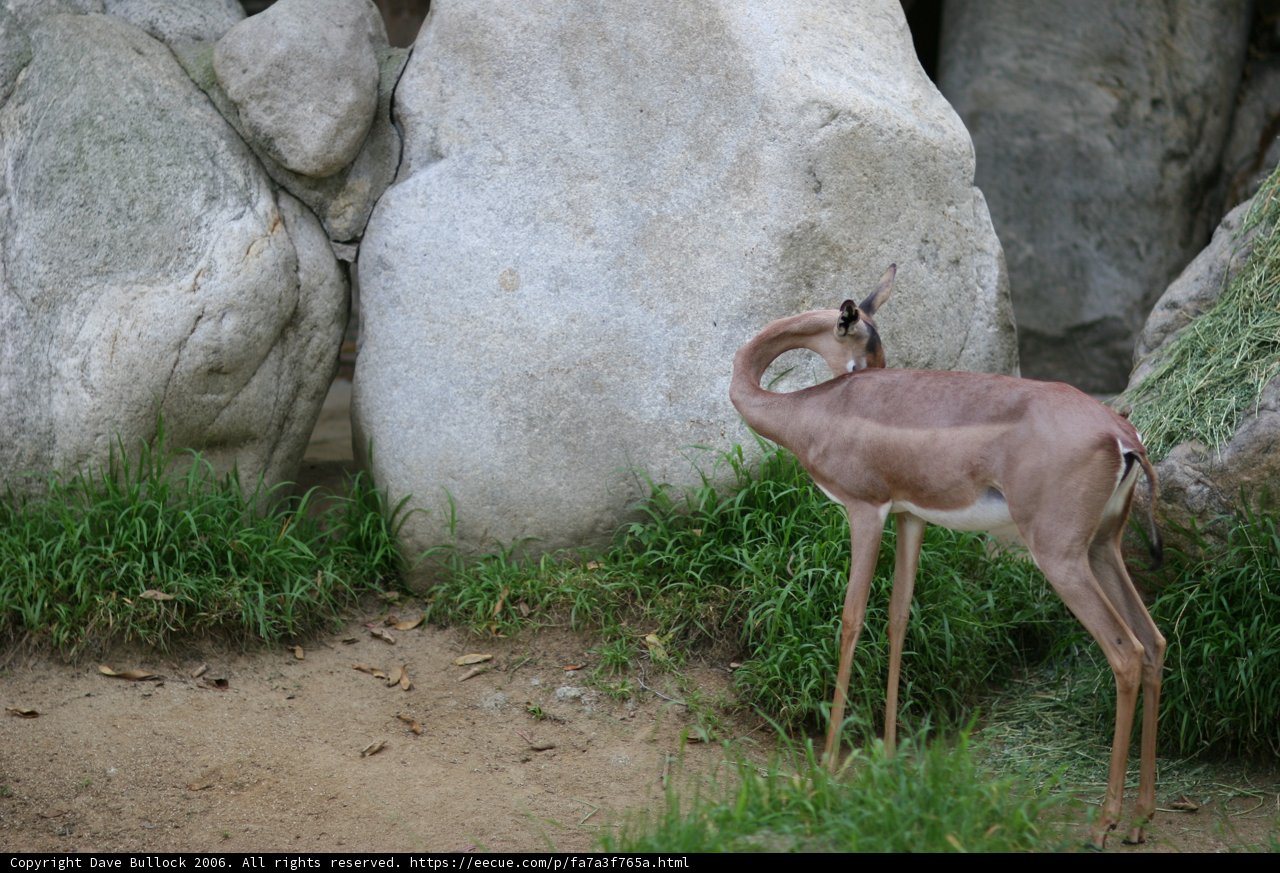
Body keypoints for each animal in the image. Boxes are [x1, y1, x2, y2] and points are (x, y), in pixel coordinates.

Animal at [729, 265, 1165, 848]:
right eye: (869, 348)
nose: (871, 378)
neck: (811, 412)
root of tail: (1122, 435)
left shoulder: (865, 511)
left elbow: (851, 619)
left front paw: (826, 769)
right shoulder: (910, 517)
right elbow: (898, 617)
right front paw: (889, 758)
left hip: (1059, 556)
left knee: (1125, 653)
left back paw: (1103, 823)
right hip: (1101, 549)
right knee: (1154, 642)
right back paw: (1140, 819)